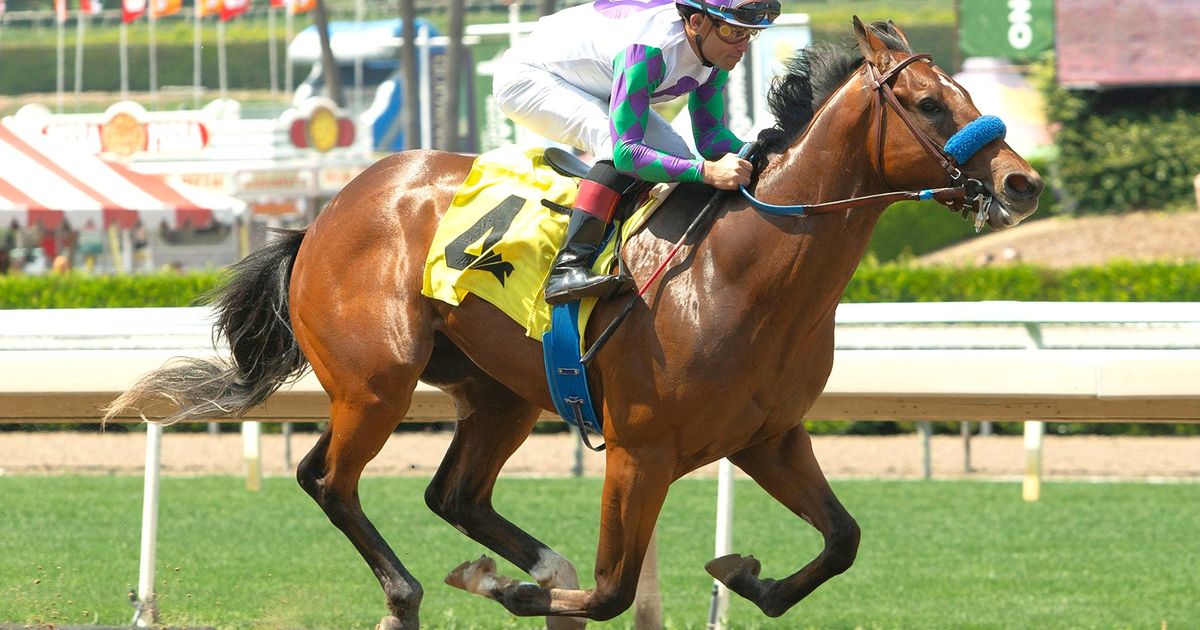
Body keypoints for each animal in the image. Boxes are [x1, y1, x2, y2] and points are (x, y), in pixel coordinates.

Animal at [106, 17, 1042, 629]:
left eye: (966, 89)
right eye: (928, 102)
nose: (1021, 181)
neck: (745, 272)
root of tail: (328, 210)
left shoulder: (769, 437)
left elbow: (842, 539)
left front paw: (746, 576)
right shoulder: (640, 450)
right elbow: (610, 590)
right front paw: (514, 593)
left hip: (501, 394)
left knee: (452, 493)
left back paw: (522, 562)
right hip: (377, 381)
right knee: (328, 480)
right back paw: (412, 596)